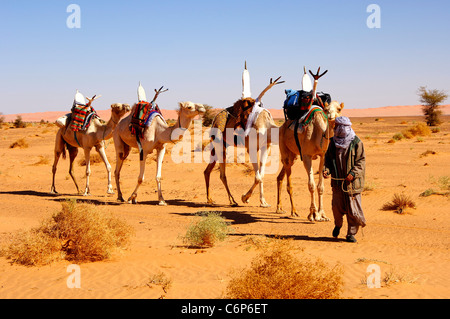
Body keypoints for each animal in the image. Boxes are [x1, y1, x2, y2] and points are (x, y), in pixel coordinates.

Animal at [205, 76, 284, 209]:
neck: (266, 126)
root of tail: (214, 119)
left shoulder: (265, 146)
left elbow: (261, 175)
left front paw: (263, 202)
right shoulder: (251, 148)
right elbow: (257, 177)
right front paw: (244, 198)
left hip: (220, 146)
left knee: (207, 171)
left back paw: (210, 199)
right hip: (219, 144)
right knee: (222, 175)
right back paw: (232, 201)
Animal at [274, 68, 344, 221]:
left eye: (339, 109)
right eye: (326, 109)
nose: (331, 117)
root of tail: (282, 127)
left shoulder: (323, 156)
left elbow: (320, 187)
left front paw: (322, 214)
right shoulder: (306, 155)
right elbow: (311, 185)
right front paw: (313, 214)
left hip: (293, 155)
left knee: (280, 177)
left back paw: (279, 208)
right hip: (284, 149)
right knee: (288, 181)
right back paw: (293, 211)